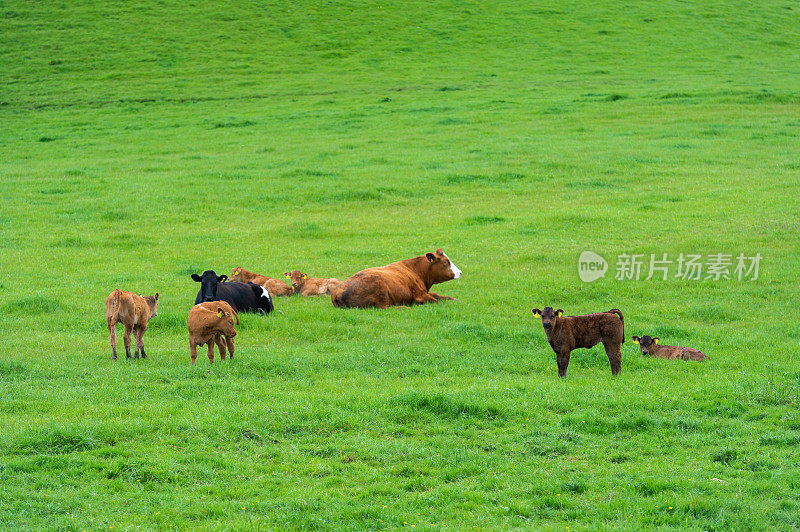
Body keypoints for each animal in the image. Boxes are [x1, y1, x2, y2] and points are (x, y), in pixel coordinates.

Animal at [328, 248, 460, 310]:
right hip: (380, 290)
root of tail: (337, 292)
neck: (416, 271)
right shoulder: (420, 295)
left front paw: (453, 299)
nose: (460, 272)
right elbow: (435, 300)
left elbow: (439, 296)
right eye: (445, 262)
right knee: (384, 307)